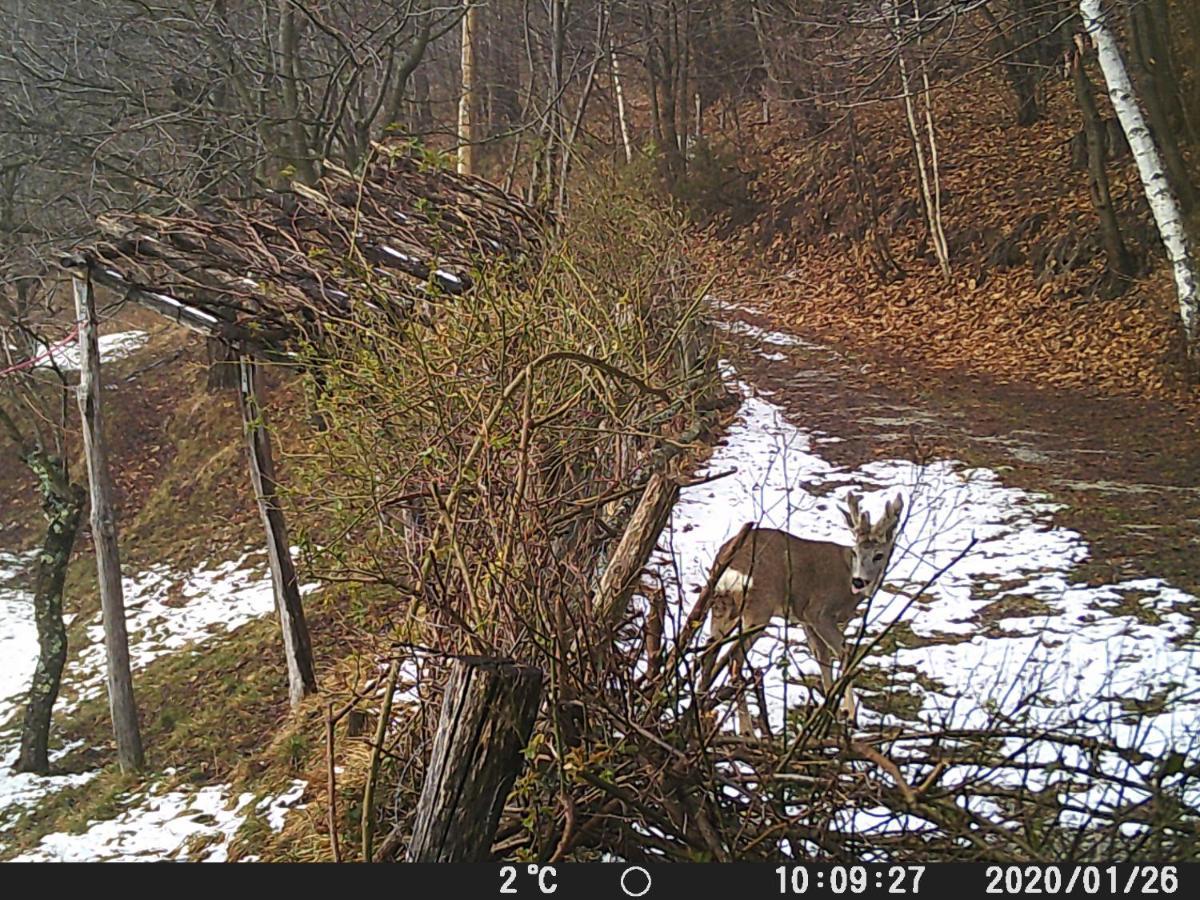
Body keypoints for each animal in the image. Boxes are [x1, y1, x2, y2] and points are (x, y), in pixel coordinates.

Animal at [700, 494, 902, 734]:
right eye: (855, 552)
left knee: (709, 652)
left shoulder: (805, 619)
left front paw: (830, 710)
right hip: (759, 607)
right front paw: (850, 715)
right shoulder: (819, 611)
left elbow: (822, 658)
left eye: (879, 555)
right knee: (734, 658)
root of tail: (727, 565)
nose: (859, 581)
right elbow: (844, 653)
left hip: (722, 607)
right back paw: (747, 729)